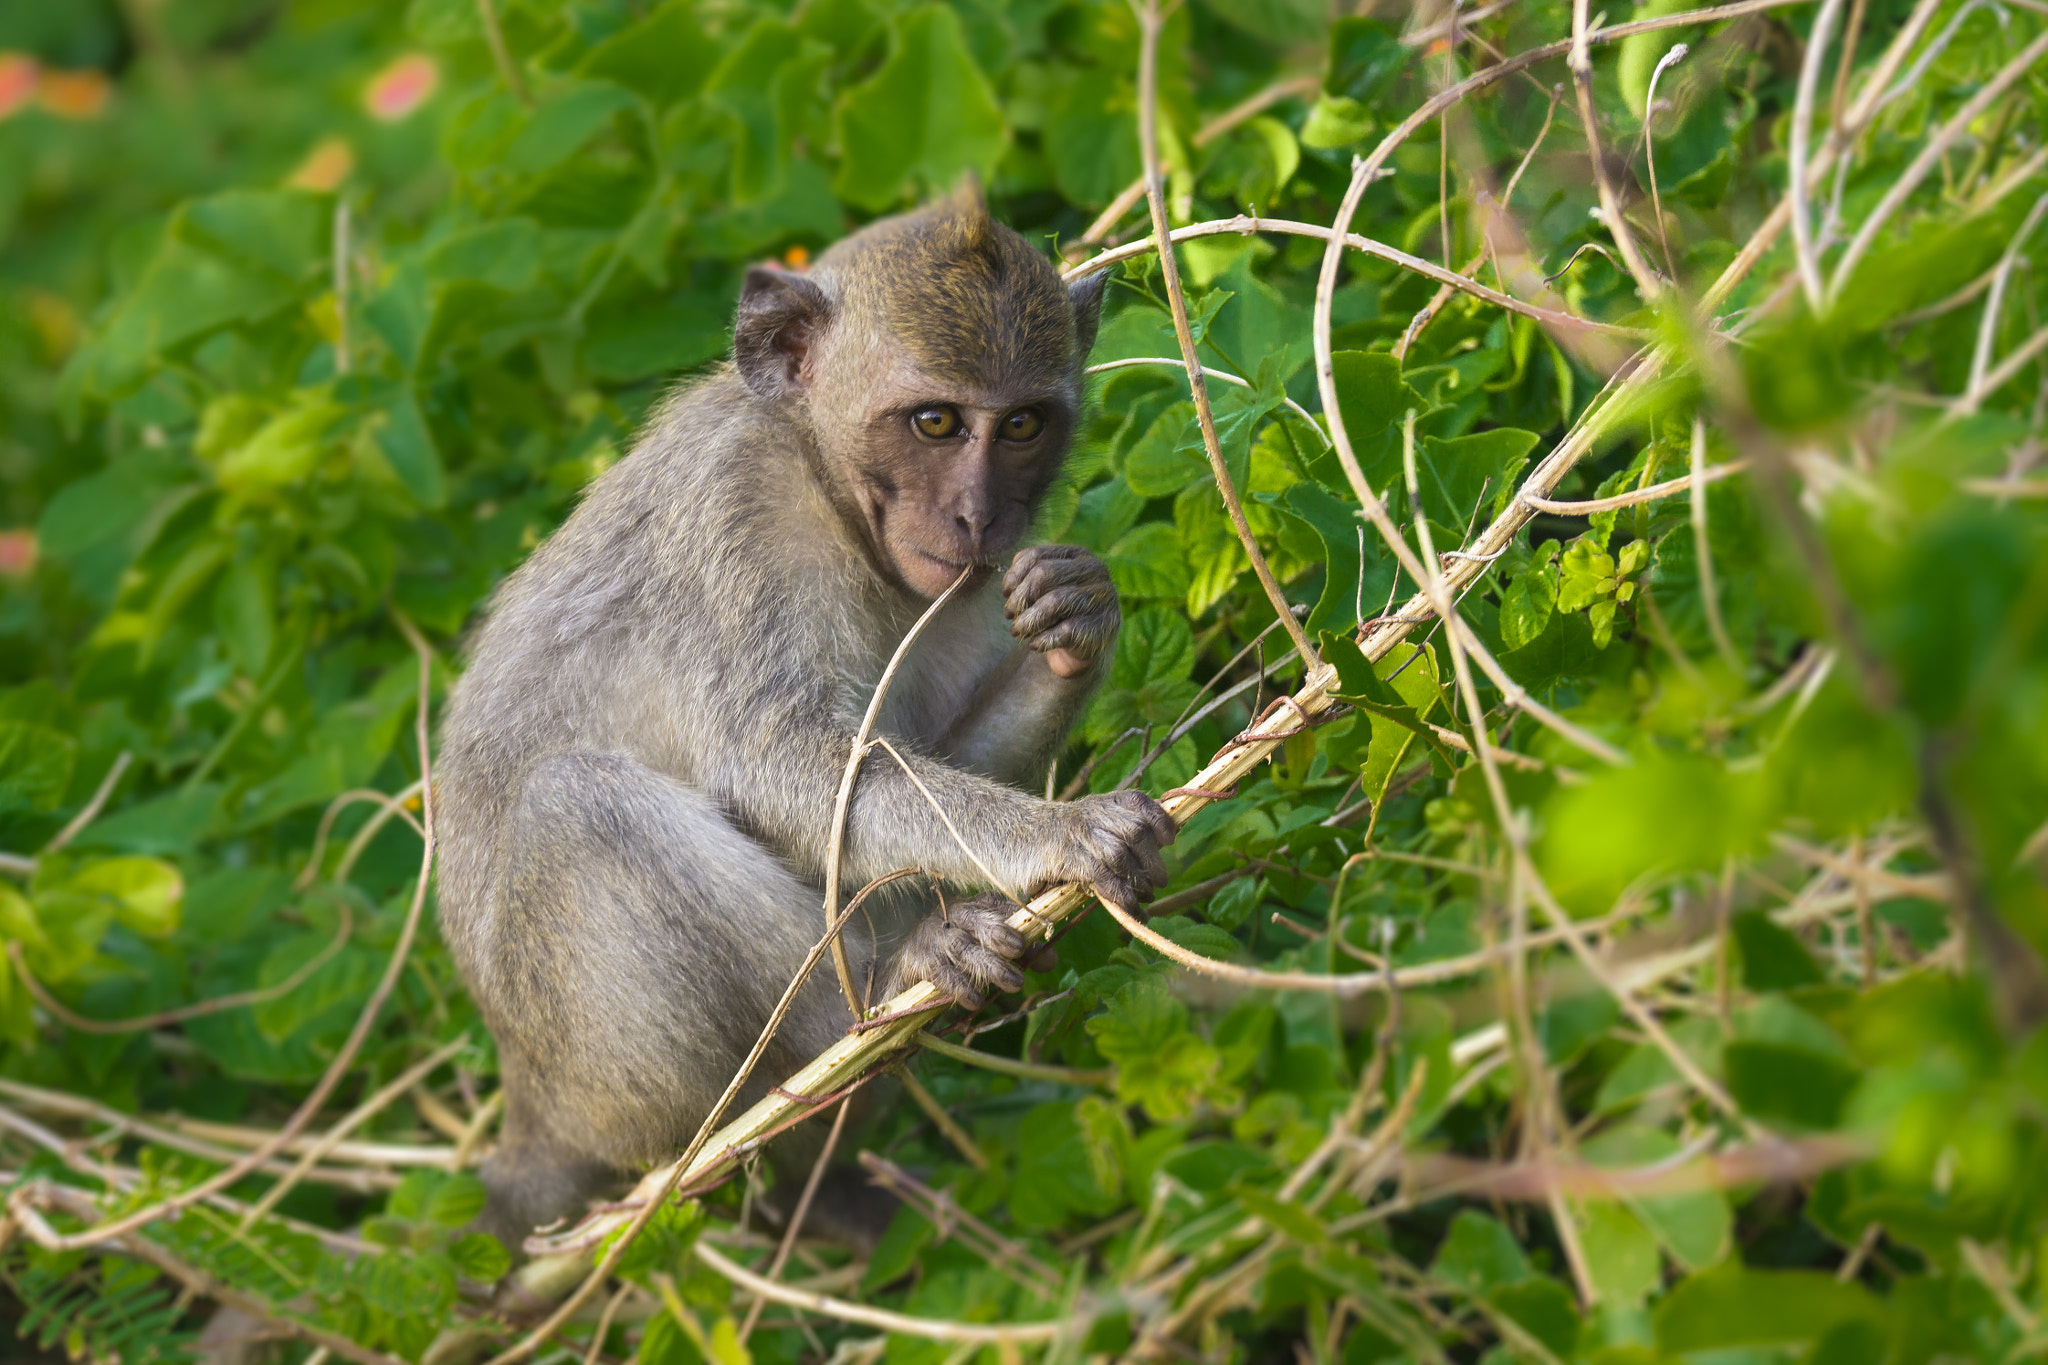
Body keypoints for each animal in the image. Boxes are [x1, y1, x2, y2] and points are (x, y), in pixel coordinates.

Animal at [433, 183, 1178, 1251]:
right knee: (578, 806)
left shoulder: (957, 588)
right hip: (611, 1079)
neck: (825, 482)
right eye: (937, 421)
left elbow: (912, 762)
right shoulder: (741, 528)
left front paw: (1077, 624)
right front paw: (1063, 832)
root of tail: (529, 1104)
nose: (978, 517)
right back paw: (881, 996)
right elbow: (790, 768)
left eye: (1024, 425)